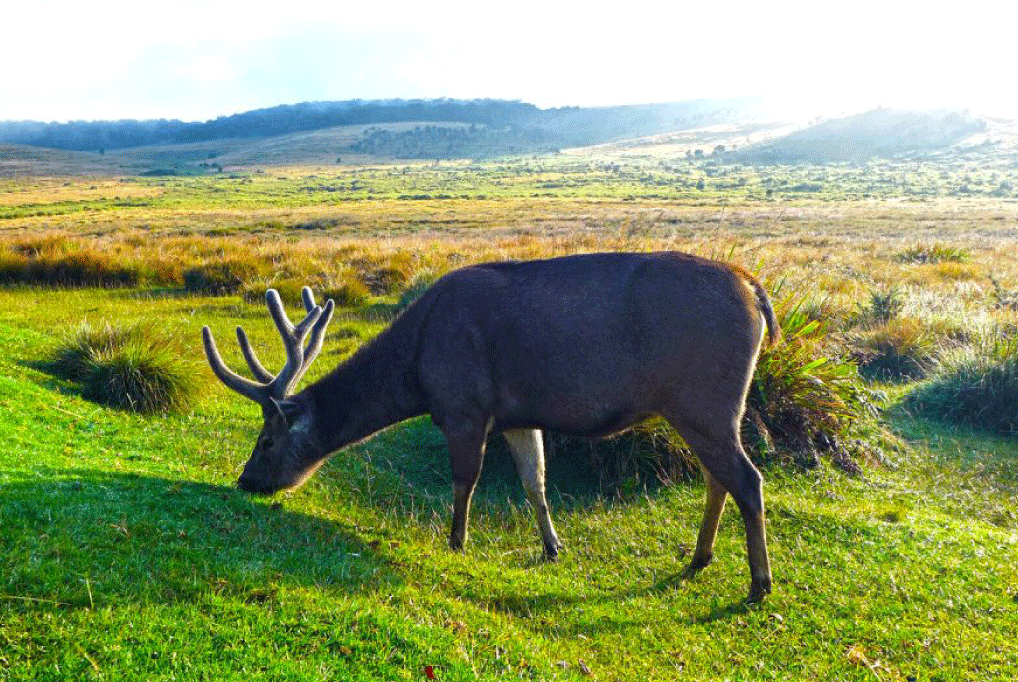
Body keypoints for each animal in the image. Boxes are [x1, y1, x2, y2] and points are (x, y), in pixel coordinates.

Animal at [202, 252, 781, 602]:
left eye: (266, 440)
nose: (245, 480)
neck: (415, 371)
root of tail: (757, 292)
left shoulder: (464, 405)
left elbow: (465, 482)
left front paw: (456, 542)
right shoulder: (518, 416)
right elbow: (535, 483)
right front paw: (552, 547)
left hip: (704, 399)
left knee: (747, 479)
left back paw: (758, 583)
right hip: (704, 408)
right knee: (718, 478)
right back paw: (700, 557)